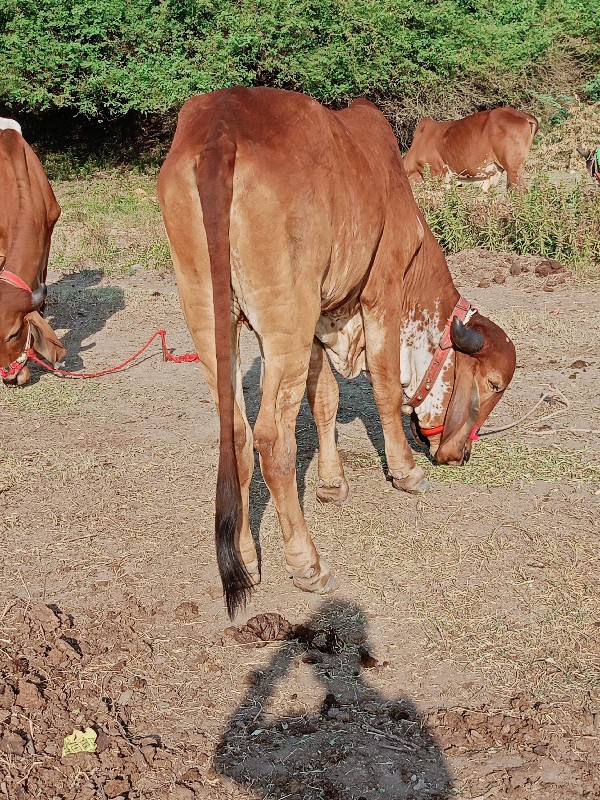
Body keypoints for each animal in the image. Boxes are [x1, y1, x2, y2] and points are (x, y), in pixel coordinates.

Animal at [157, 87, 516, 616]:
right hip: (285, 313)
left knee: (237, 435)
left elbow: (324, 397)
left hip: (207, 311)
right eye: (492, 384)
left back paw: (247, 558)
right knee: (271, 440)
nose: (458, 455)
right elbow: (384, 389)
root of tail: (221, 129)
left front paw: (331, 483)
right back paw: (307, 563)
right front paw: (407, 472)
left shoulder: (319, 320)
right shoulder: (381, 293)